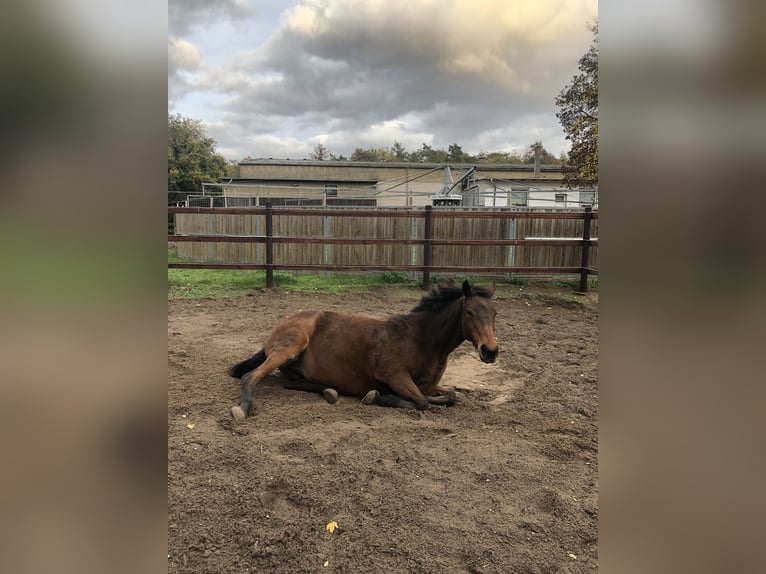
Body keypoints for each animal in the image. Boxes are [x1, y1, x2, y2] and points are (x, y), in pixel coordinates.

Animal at [228, 282, 500, 420]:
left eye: (495, 313)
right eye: (469, 312)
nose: (490, 351)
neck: (422, 340)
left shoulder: (430, 384)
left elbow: (451, 396)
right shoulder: (392, 374)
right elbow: (422, 402)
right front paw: (378, 396)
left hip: (294, 367)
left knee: (293, 383)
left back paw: (330, 391)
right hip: (290, 346)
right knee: (250, 376)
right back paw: (242, 408)